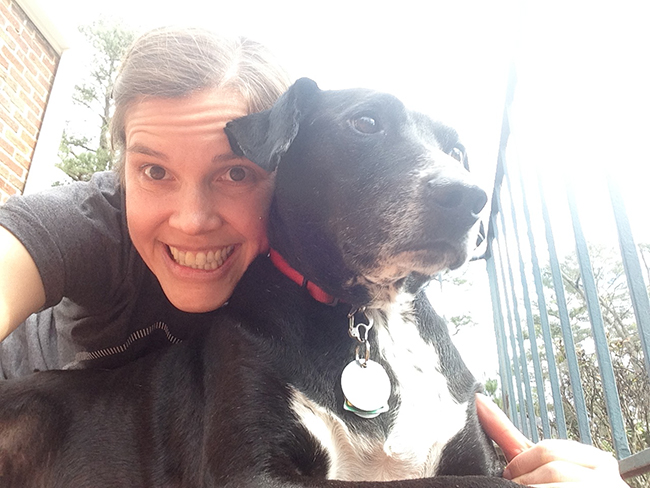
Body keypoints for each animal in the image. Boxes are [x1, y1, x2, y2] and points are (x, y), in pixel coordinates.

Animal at [0, 78, 520, 486]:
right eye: (366, 123)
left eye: (457, 151)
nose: (471, 198)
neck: (374, 313)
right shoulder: (251, 471)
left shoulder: (473, 455)